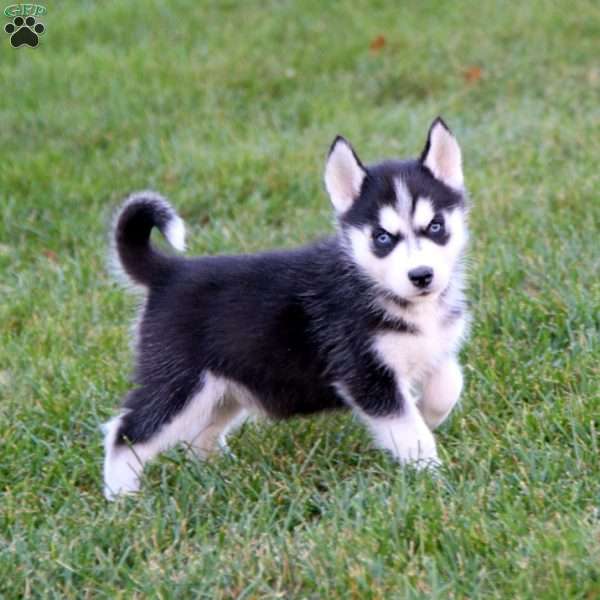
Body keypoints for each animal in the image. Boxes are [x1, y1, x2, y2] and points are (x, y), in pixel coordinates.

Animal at [103, 118, 468, 502]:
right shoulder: (366, 375)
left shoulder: (433, 348)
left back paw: (223, 476)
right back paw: (123, 498)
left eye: (436, 226)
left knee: (197, 436)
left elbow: (449, 383)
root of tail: (168, 271)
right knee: (126, 432)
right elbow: (409, 430)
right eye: (382, 238)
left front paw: (429, 412)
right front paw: (431, 476)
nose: (421, 276)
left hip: (222, 388)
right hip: (180, 384)